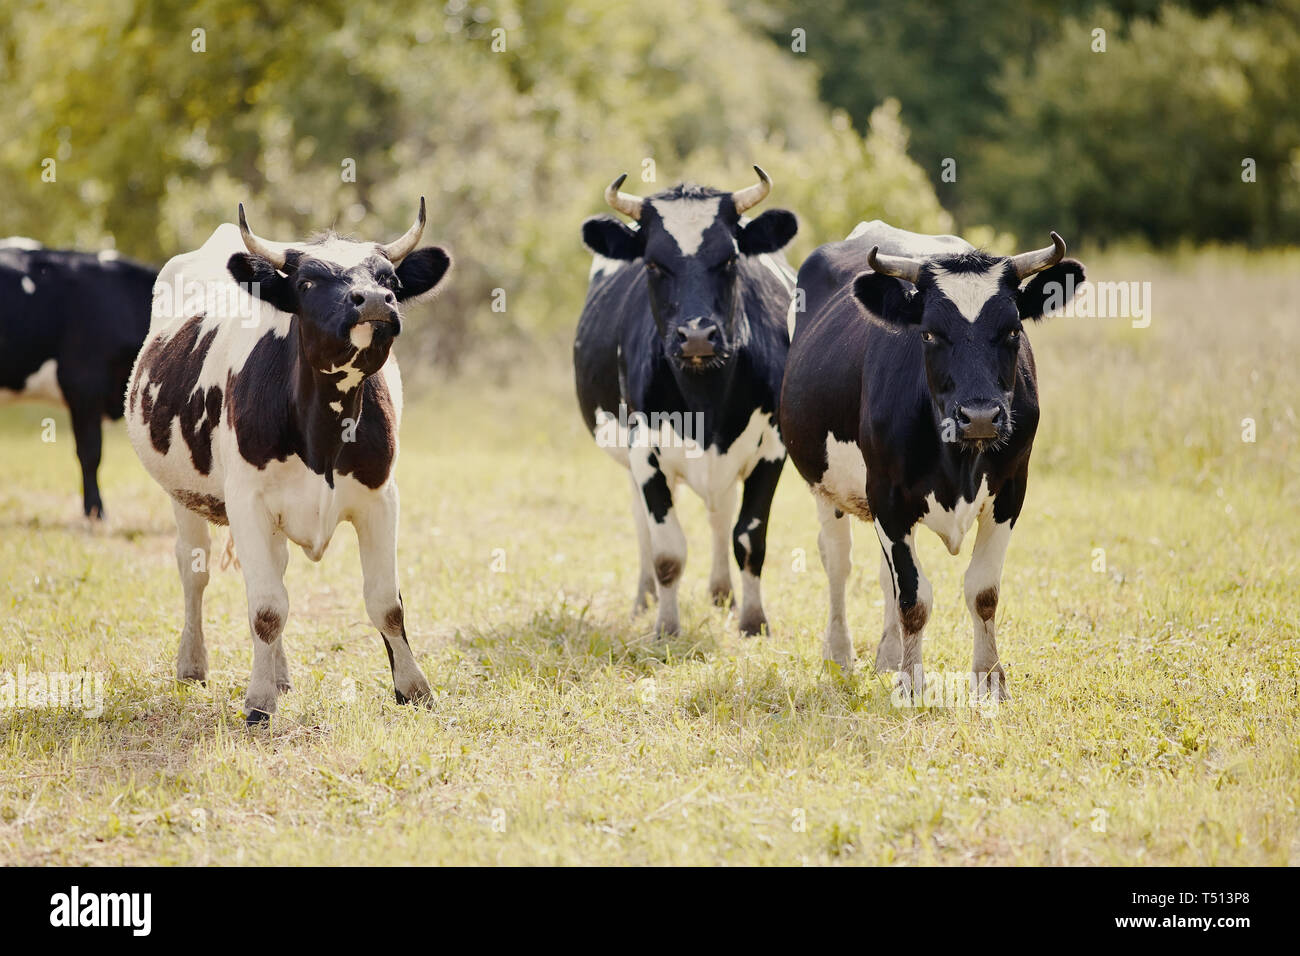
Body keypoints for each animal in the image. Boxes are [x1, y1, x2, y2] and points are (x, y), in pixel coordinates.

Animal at [125, 201, 451, 723]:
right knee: (194, 571)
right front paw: (259, 702)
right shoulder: (248, 503)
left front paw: (413, 688)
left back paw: (279, 673)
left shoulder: (381, 497)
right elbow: (266, 609)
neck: (322, 436)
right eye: (308, 282)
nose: (374, 300)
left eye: (390, 279)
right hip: (183, 493)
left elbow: (386, 603)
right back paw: (193, 663)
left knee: (274, 571)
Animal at [574, 167, 798, 637]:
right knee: (643, 524)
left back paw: (722, 594)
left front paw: (753, 620)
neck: (705, 400)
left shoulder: (772, 448)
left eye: (730, 259)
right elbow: (667, 549)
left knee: (720, 515)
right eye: (653, 263)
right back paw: (645, 599)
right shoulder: (644, 451)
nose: (696, 335)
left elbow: (748, 537)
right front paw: (666, 626)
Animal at [780, 221, 1084, 700]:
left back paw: (887, 656)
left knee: (882, 575)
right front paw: (909, 684)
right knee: (838, 562)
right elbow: (914, 598)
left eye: (1013, 330)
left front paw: (990, 679)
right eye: (928, 333)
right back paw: (839, 655)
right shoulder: (886, 495)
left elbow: (982, 591)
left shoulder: (1011, 490)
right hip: (825, 485)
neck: (958, 461)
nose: (980, 416)